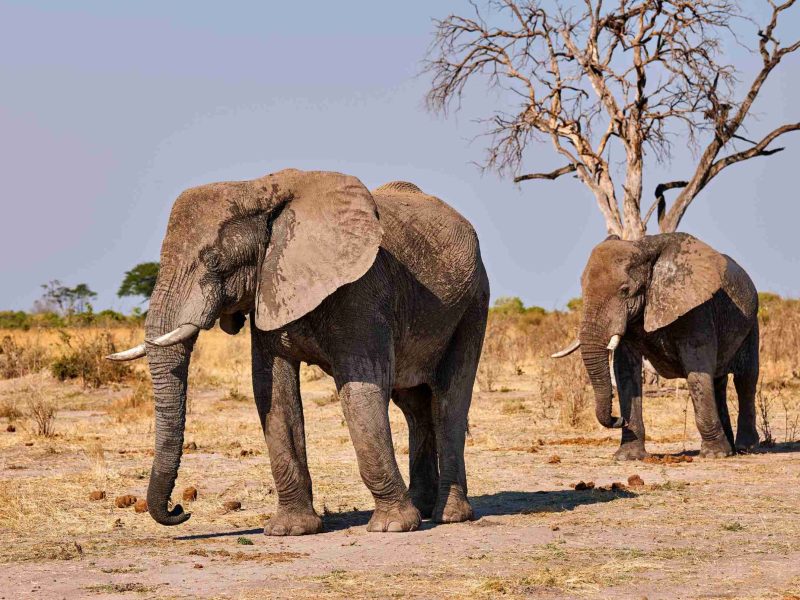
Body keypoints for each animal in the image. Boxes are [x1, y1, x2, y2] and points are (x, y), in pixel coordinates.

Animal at [108, 169, 489, 534]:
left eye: (214, 261)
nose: (180, 509)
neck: (258, 190)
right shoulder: (269, 287)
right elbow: (273, 391)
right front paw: (290, 530)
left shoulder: (362, 289)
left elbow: (361, 391)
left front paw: (393, 526)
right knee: (414, 405)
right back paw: (423, 506)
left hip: (473, 303)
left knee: (449, 400)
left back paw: (449, 515)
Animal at [552, 233, 759, 460]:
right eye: (583, 288)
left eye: (625, 290)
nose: (618, 419)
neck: (645, 249)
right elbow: (625, 371)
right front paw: (627, 456)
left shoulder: (695, 308)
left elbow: (697, 369)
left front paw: (714, 455)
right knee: (719, 382)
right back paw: (731, 450)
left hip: (751, 326)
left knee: (746, 380)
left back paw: (745, 448)